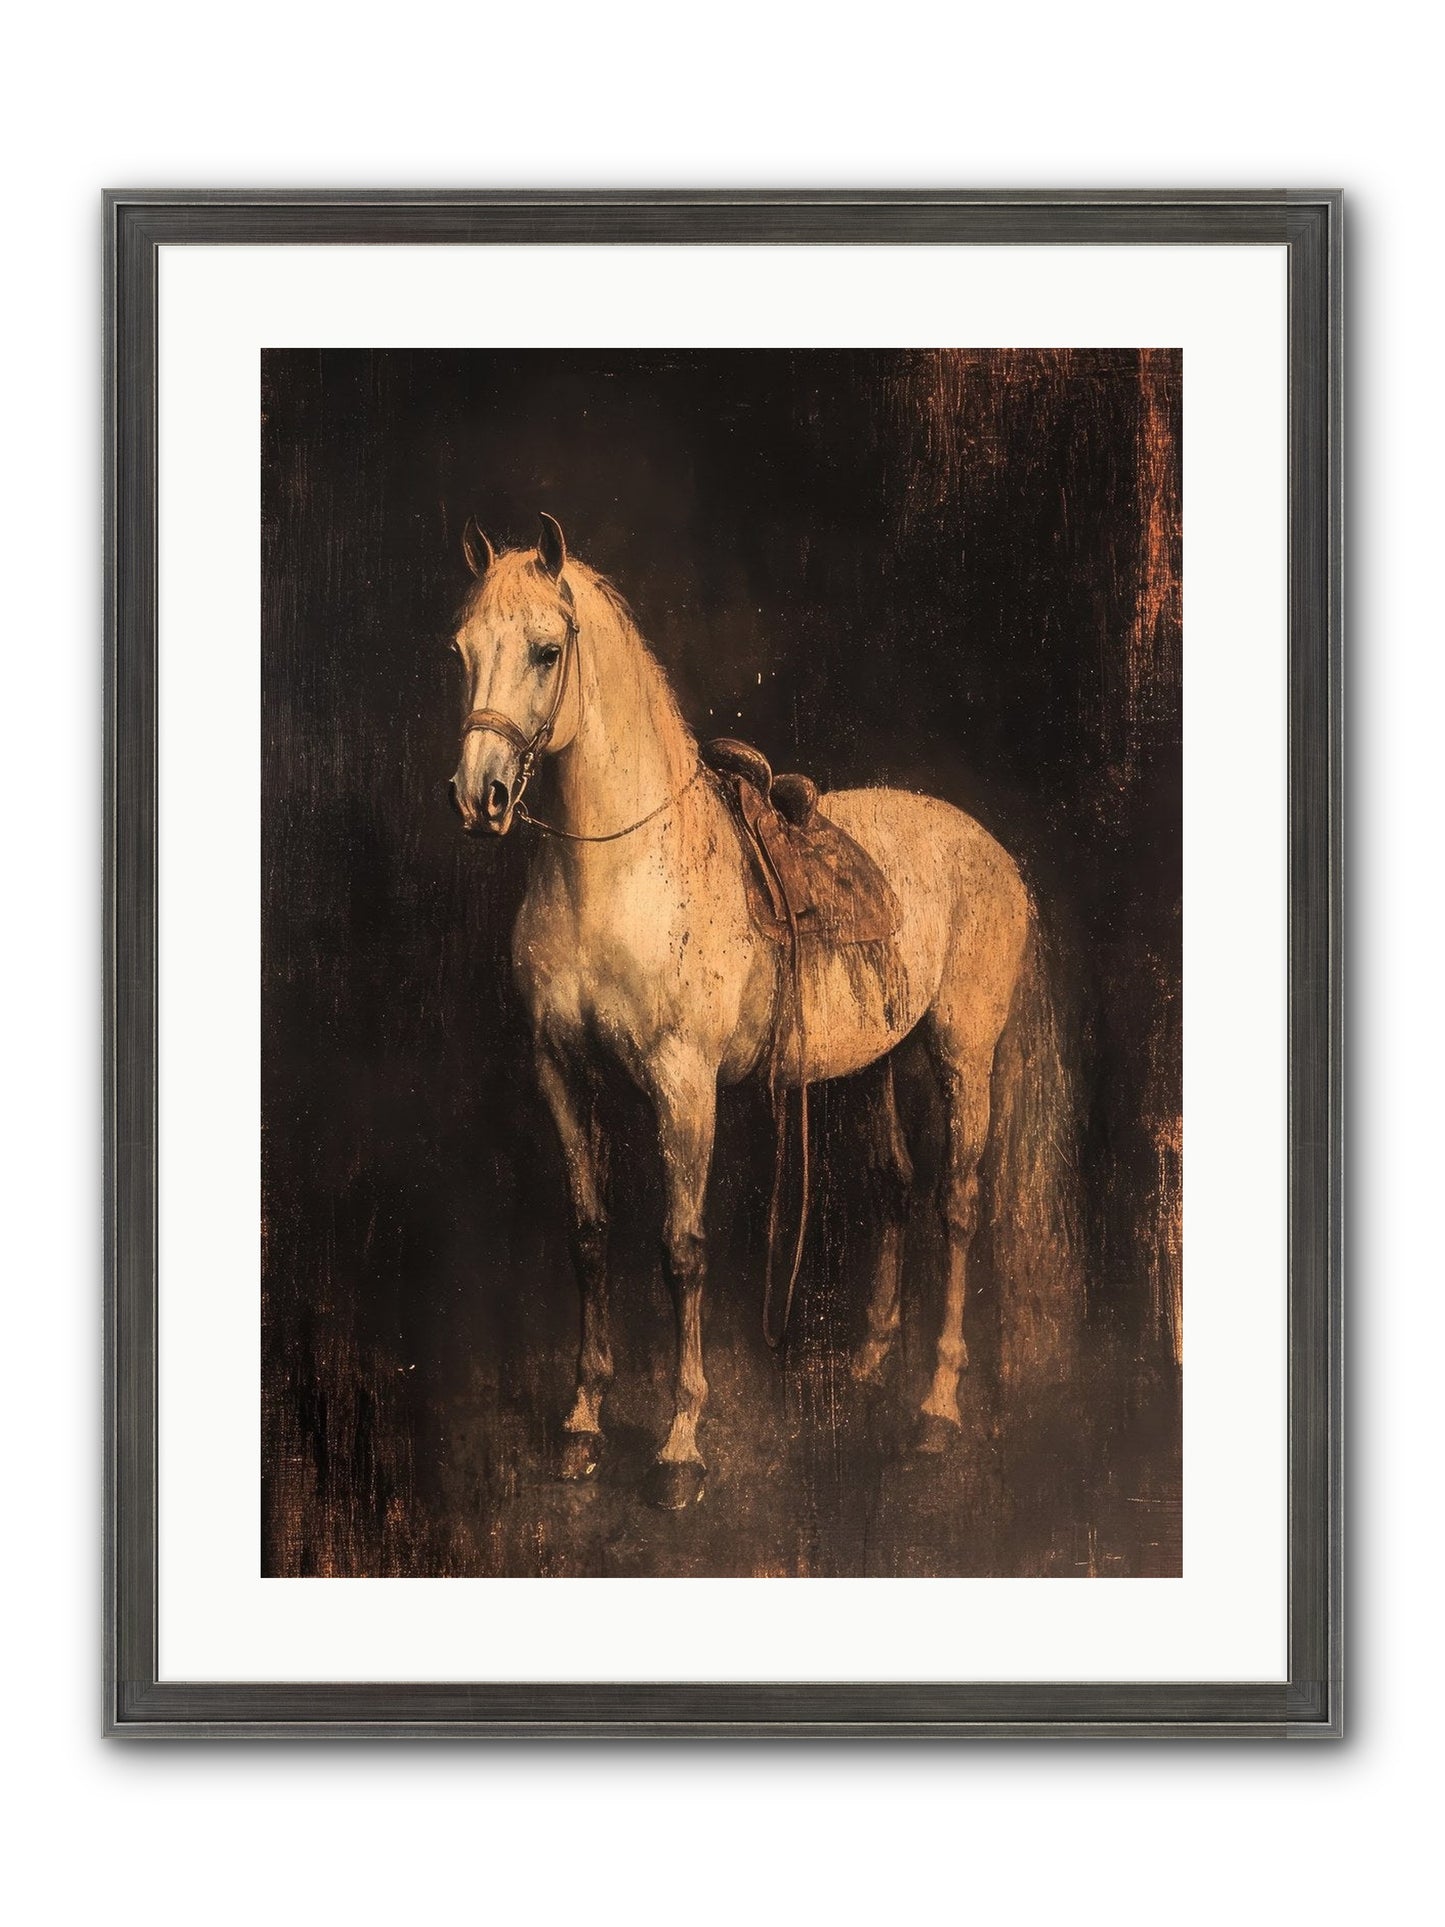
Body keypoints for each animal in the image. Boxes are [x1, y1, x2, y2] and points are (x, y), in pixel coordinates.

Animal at [447, 513, 1078, 1509]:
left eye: (547, 651)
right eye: (463, 649)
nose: (480, 798)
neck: (619, 872)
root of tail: (991, 850)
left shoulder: (683, 1087)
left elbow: (681, 1249)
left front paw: (680, 1443)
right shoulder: (560, 1072)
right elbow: (589, 1236)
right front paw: (583, 1422)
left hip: (960, 1056)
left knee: (956, 1203)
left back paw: (936, 1405)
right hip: (875, 1063)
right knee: (895, 1187)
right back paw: (867, 1362)